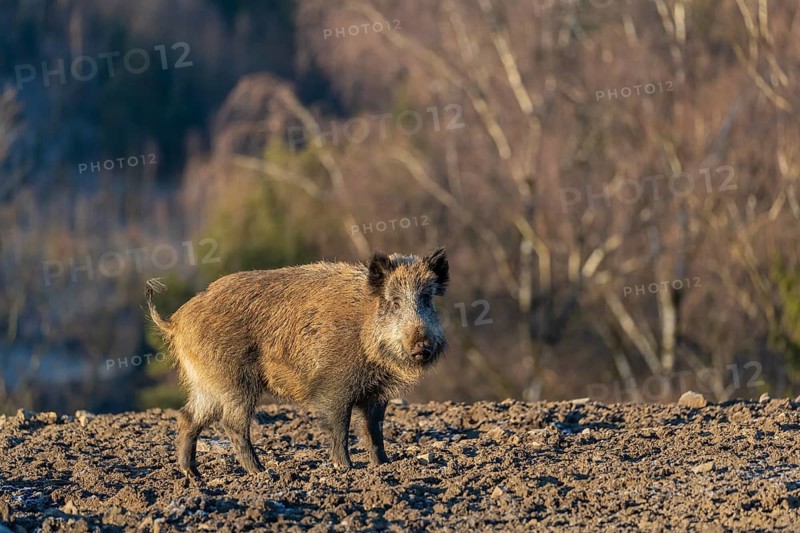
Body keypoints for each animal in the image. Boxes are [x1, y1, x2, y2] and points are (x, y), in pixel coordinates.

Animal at [145, 247, 448, 481]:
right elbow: (340, 427)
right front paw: (346, 468)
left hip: (207, 384)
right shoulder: (334, 387)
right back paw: (261, 472)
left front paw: (384, 465)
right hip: (234, 382)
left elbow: (374, 430)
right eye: (395, 302)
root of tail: (176, 320)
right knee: (231, 424)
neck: (363, 327)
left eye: (426, 299)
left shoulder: (376, 395)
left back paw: (193, 474)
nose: (421, 346)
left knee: (188, 417)